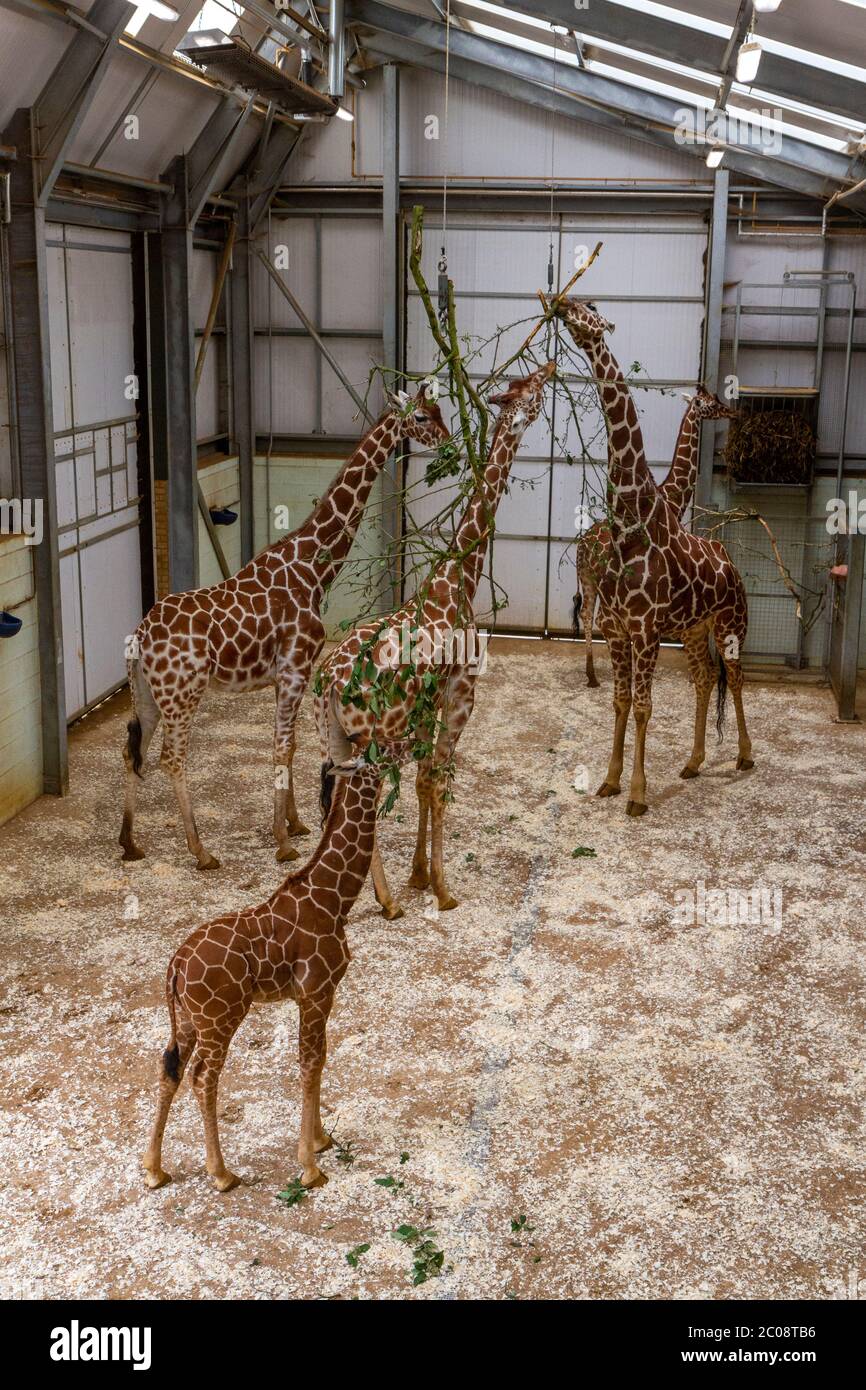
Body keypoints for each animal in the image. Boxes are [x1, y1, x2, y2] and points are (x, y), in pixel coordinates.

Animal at [120, 389, 447, 867]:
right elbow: (281, 746)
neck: (312, 568)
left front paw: (294, 823)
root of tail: (140, 638)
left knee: (134, 750)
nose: (447, 440)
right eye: (422, 416)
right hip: (182, 694)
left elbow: (289, 747)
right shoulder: (294, 669)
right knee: (171, 758)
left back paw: (129, 842)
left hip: (146, 692)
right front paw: (283, 841)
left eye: (440, 411)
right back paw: (202, 851)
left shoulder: (289, 675)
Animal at [140, 745, 405, 1189]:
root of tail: (174, 967)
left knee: (169, 1068)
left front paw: (321, 1139)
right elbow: (310, 1062)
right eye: (374, 761)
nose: (399, 753)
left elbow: (320, 1057)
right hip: (221, 1018)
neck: (334, 899)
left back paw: (154, 1170)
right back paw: (221, 1173)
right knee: (203, 1077)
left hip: (187, 1020)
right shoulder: (317, 990)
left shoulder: (315, 996)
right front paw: (309, 1166)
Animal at [311, 364, 556, 917]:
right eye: (530, 390)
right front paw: (443, 889)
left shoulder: (426, 703)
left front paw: (420, 874)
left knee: (338, 793)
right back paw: (385, 901)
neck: (459, 576)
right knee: (361, 795)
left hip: (333, 735)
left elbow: (423, 781)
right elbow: (440, 782)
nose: (552, 369)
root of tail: (330, 683)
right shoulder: (462, 691)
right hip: (374, 739)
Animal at [575, 383, 739, 686]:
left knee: (585, 612)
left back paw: (591, 675)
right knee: (595, 617)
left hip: (588, 579)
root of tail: (582, 546)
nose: (732, 412)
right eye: (712, 403)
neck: (673, 496)